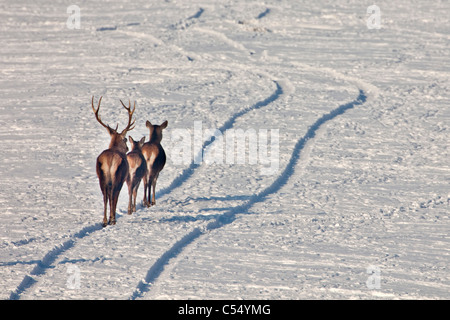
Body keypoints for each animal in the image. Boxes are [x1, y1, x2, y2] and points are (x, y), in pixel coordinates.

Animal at [90, 96, 134, 226]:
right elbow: (114, 197)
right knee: (114, 194)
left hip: (102, 177)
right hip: (117, 176)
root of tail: (109, 161)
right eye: (125, 139)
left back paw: (104, 221)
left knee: (105, 196)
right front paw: (112, 217)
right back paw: (112, 219)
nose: (127, 148)